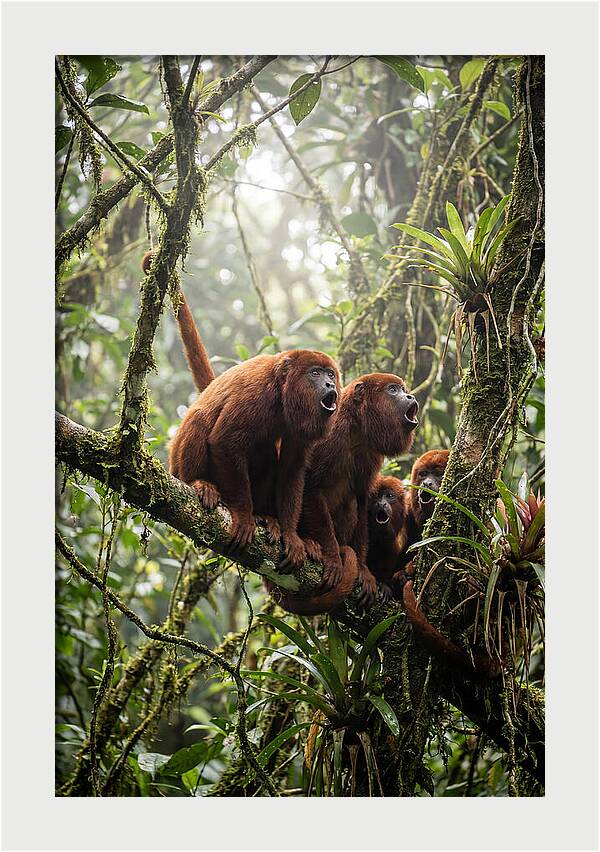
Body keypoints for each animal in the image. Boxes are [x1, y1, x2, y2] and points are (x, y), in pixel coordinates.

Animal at [143, 250, 342, 566]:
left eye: (330, 374)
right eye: (314, 373)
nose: (330, 385)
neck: (282, 393)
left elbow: (292, 468)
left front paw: (290, 534)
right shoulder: (256, 393)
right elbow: (223, 441)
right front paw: (245, 515)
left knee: (267, 453)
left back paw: (268, 518)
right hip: (177, 466)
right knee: (200, 420)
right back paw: (201, 484)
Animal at [272, 374, 419, 614]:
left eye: (404, 389)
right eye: (393, 389)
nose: (410, 396)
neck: (356, 427)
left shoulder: (371, 454)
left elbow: (361, 500)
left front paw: (363, 570)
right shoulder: (330, 432)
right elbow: (310, 487)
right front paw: (332, 557)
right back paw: (311, 543)